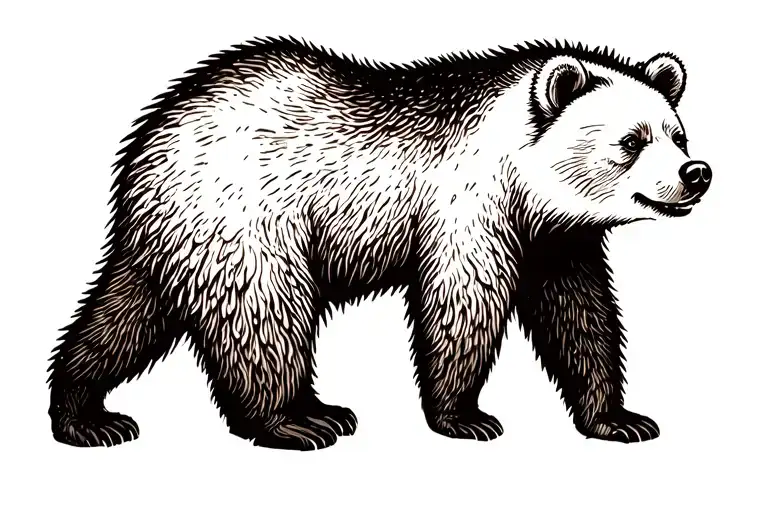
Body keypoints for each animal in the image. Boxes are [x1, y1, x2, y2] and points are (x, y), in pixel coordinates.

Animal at [48, 37, 712, 450]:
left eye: (676, 134)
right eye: (631, 140)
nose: (695, 172)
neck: (520, 183)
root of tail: (149, 144)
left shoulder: (557, 239)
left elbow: (580, 316)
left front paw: (619, 418)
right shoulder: (466, 211)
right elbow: (464, 308)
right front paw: (466, 416)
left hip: (176, 238)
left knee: (123, 317)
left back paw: (86, 413)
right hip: (242, 222)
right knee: (263, 319)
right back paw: (293, 422)